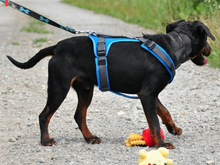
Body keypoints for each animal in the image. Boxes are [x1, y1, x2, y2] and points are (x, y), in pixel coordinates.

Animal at [6, 20, 215, 149]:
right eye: (206, 38)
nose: (211, 50)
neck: (175, 43)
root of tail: (57, 47)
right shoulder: (147, 94)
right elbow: (154, 123)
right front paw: (162, 146)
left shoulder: (149, 93)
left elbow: (164, 111)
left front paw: (173, 128)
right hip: (59, 87)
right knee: (44, 115)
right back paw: (46, 141)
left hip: (85, 88)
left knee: (79, 115)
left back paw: (89, 138)